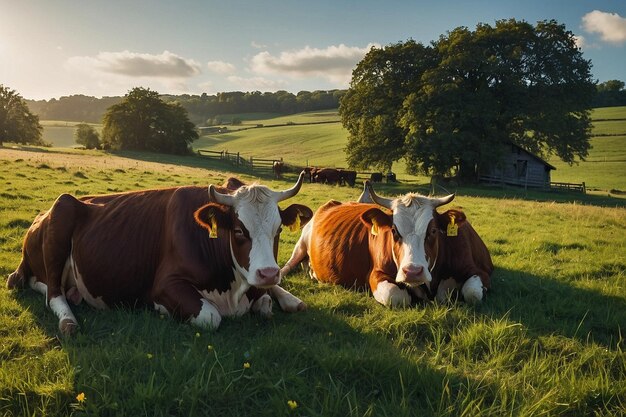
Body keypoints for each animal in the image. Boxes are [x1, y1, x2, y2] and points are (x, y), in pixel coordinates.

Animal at [7, 174, 312, 334]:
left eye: (278, 230)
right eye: (239, 231)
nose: (268, 273)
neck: (232, 289)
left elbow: (264, 302)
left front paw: (276, 296)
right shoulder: (165, 284)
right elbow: (210, 316)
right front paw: (162, 309)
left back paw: (291, 299)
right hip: (62, 214)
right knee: (52, 292)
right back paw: (68, 320)